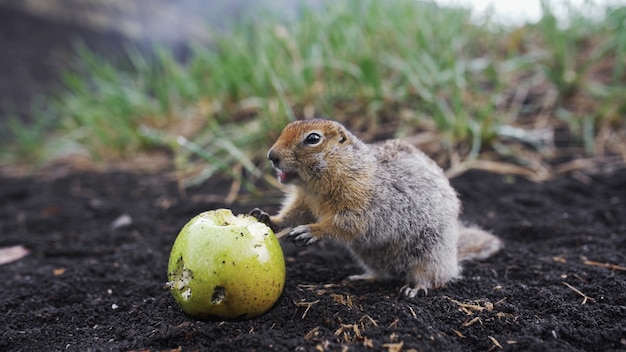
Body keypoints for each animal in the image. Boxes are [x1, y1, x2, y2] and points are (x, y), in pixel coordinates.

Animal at [249, 119, 502, 296]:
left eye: (313, 138)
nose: (271, 156)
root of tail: (453, 257)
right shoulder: (304, 201)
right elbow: (293, 214)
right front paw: (267, 217)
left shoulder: (364, 203)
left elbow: (347, 223)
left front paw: (312, 231)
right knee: (385, 275)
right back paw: (364, 278)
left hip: (430, 254)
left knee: (434, 278)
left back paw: (415, 287)